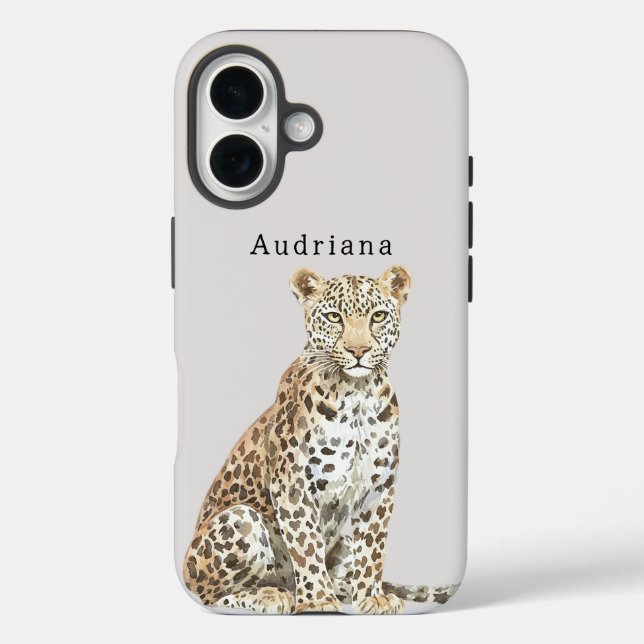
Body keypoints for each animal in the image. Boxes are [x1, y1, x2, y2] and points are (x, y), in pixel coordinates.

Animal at [183, 265, 458, 614]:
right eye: (334, 317)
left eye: (378, 316)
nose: (358, 351)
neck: (357, 395)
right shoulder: (292, 485)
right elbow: (306, 545)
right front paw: (317, 601)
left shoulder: (380, 486)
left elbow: (373, 546)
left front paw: (371, 597)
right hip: (240, 519)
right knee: (208, 594)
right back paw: (273, 595)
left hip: (343, 542)